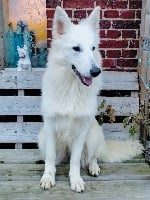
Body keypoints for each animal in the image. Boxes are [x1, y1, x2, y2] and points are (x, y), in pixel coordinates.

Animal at [38, 7, 143, 193]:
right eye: (76, 48)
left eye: (93, 48)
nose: (96, 71)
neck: (72, 87)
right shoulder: (50, 128)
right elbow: (50, 158)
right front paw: (48, 177)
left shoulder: (81, 131)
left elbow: (75, 160)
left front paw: (75, 180)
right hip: (42, 138)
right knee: (55, 157)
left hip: (94, 134)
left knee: (92, 157)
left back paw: (94, 167)